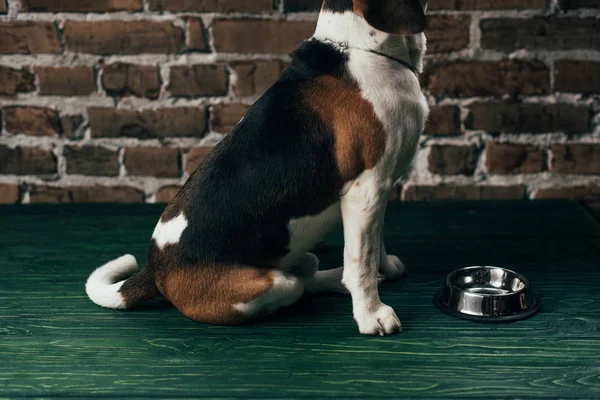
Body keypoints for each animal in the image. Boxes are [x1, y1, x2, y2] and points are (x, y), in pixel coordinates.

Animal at [86, 0, 428, 336]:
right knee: (300, 285)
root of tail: (155, 267)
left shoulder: (377, 192)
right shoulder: (366, 189)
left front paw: (386, 269)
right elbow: (362, 263)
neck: (362, 48)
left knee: (308, 274)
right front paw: (372, 314)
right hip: (271, 284)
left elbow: (376, 244)